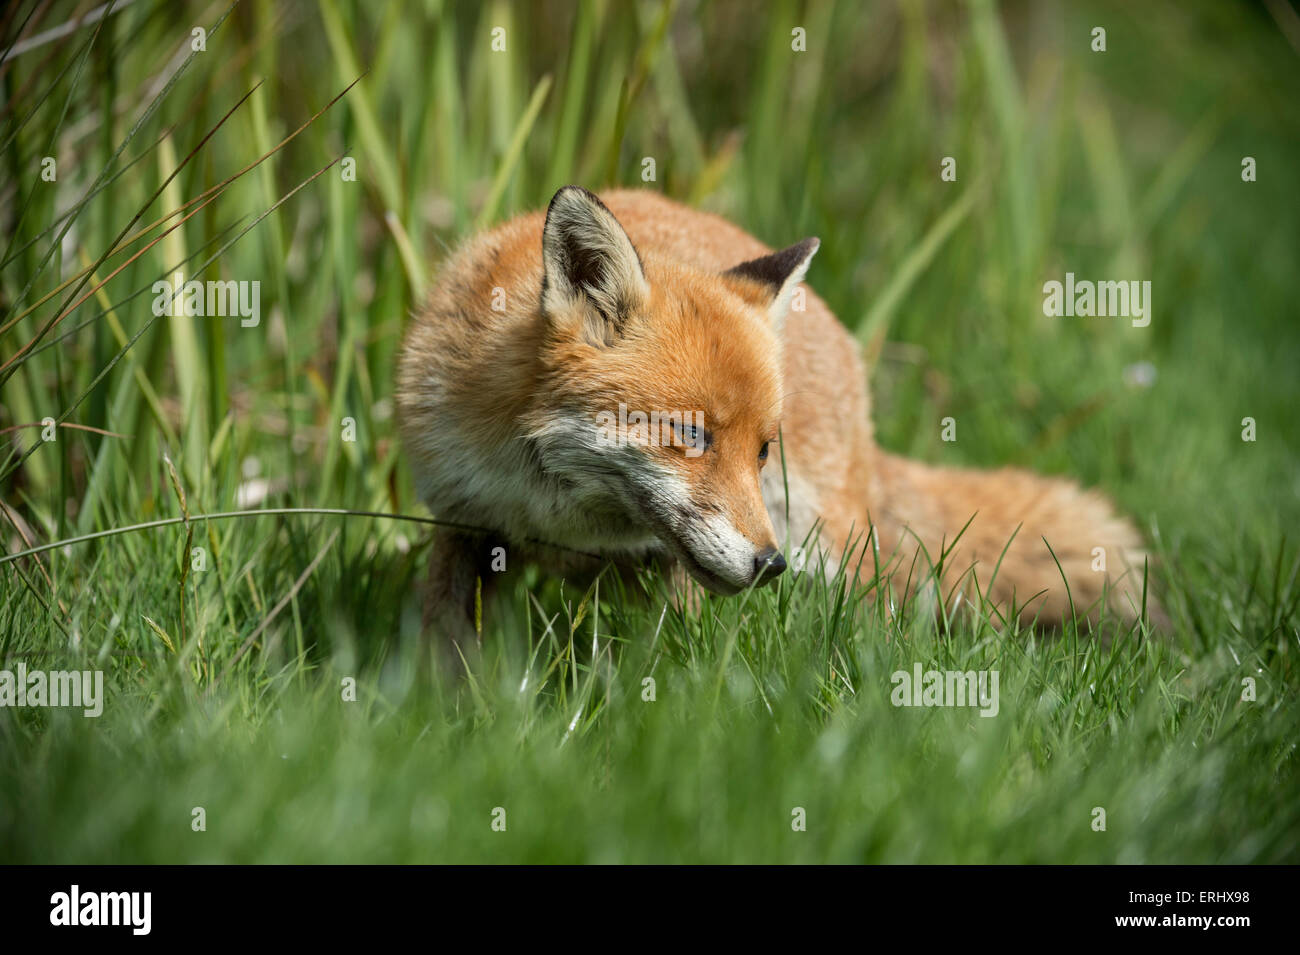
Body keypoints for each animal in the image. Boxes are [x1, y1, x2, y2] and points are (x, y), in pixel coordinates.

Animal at [396, 185, 1156, 650]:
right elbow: (446, 645)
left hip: (836, 542)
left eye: (762, 450)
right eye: (691, 434)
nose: (770, 564)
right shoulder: (464, 519)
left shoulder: (673, 567)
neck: (565, 519)